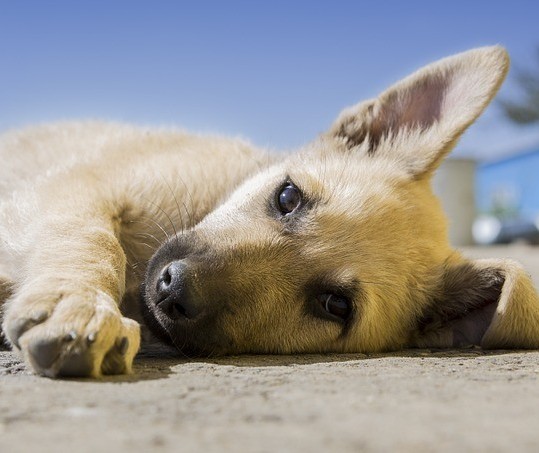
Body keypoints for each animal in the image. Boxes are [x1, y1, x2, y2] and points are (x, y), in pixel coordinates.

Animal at [1, 46, 539, 378]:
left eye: (334, 305)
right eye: (288, 198)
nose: (173, 287)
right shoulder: (77, 188)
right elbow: (92, 240)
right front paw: (79, 304)